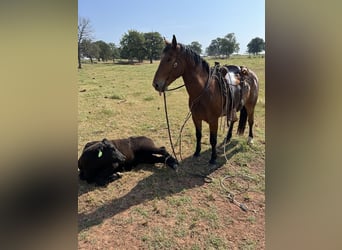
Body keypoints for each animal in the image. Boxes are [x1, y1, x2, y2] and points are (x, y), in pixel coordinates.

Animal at [152, 35, 260, 164]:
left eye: (169, 59)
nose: (156, 84)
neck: (204, 91)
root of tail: (251, 74)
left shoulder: (213, 120)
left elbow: (213, 140)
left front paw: (213, 158)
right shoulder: (196, 118)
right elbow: (198, 135)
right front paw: (197, 152)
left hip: (250, 106)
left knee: (250, 121)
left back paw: (250, 139)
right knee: (233, 120)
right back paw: (227, 138)